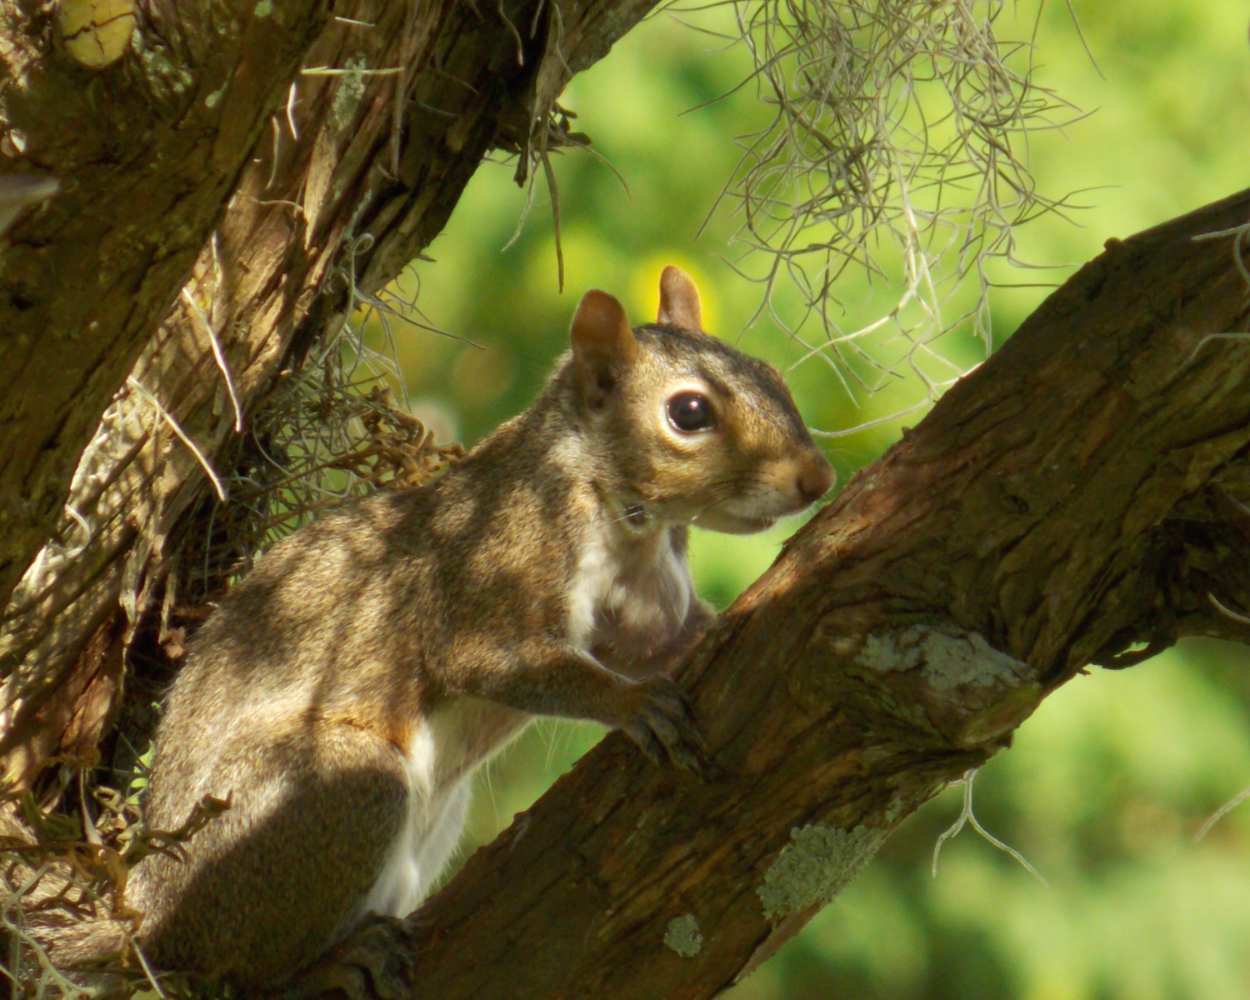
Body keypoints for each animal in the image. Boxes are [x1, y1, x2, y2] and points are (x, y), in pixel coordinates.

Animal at [49, 265, 834, 988]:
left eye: (769, 374)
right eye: (690, 413)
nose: (817, 479)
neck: (625, 518)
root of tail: (148, 913)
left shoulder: (641, 611)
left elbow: (658, 642)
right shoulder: (493, 567)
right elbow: (498, 661)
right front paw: (633, 703)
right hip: (332, 793)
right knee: (234, 969)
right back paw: (335, 959)